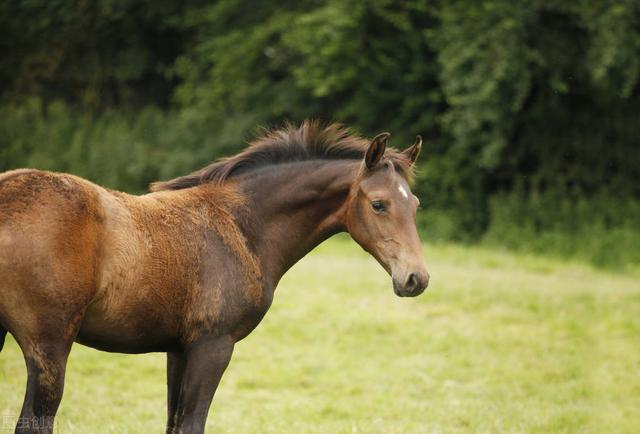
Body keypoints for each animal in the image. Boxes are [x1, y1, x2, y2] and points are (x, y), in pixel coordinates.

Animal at [1, 121, 430, 434]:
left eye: (415, 204)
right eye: (379, 204)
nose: (416, 278)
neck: (242, 226)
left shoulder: (178, 349)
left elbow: (173, 424)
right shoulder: (213, 345)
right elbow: (192, 425)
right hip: (49, 346)